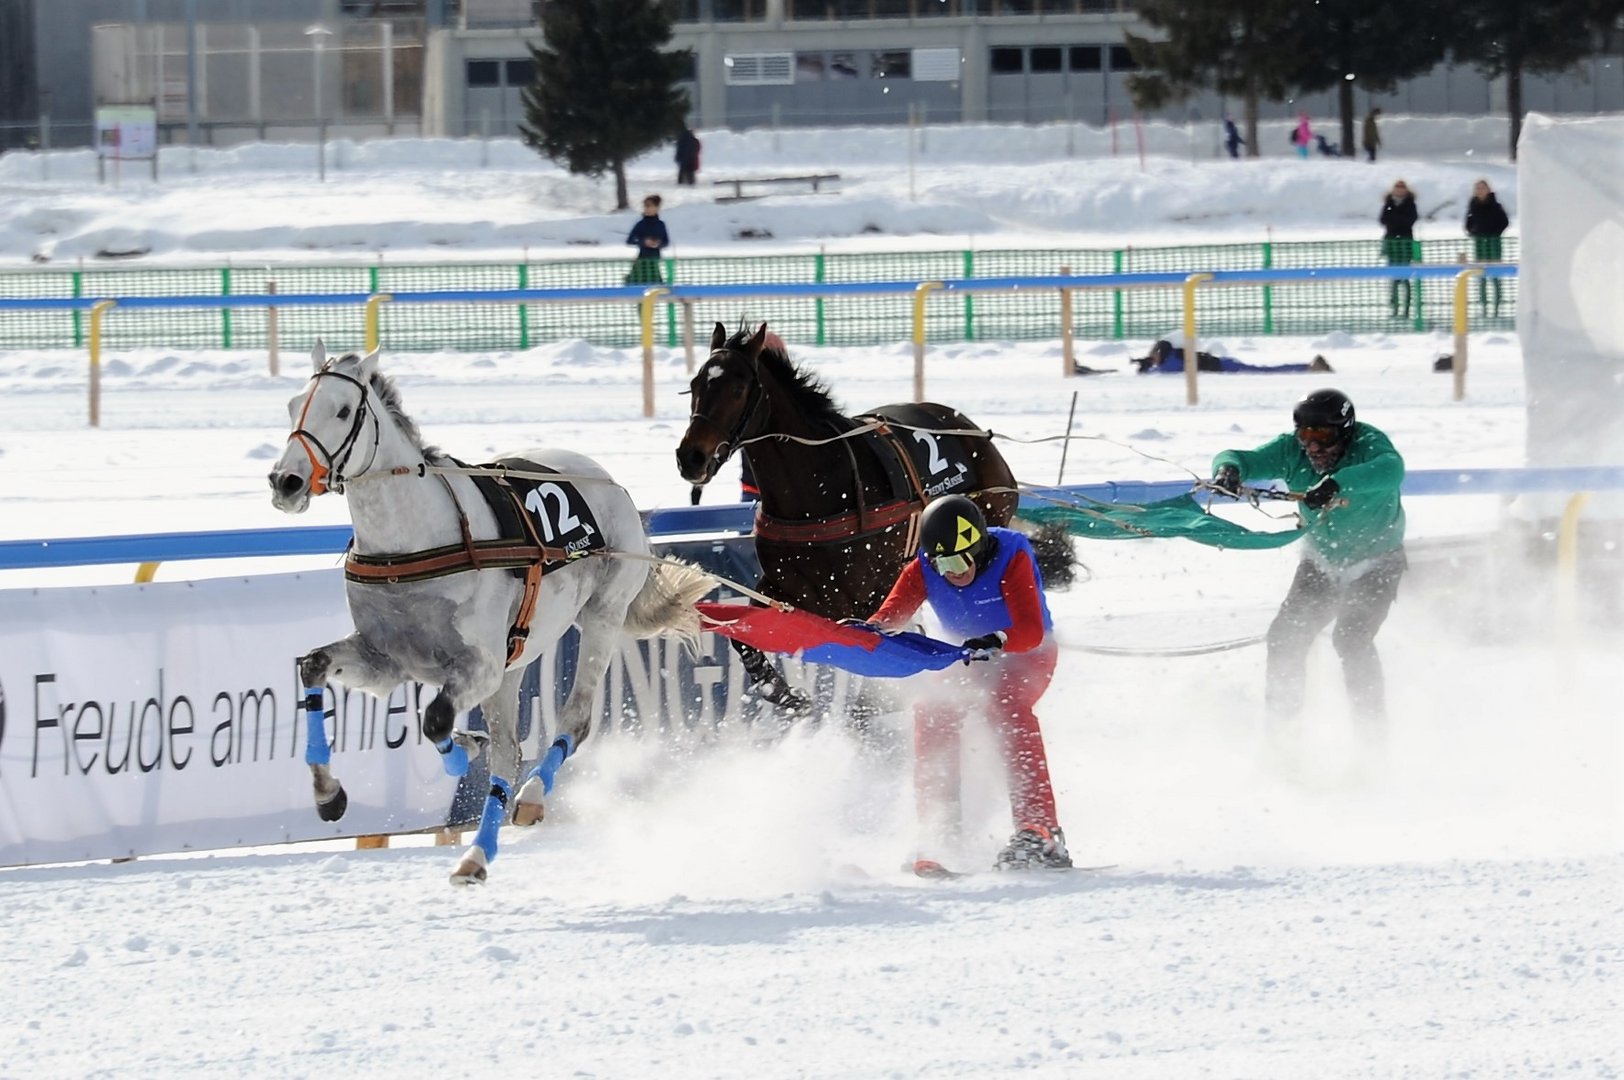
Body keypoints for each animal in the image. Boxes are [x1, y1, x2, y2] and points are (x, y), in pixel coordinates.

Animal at [267, 341, 711, 883]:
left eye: (343, 410)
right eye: (294, 405)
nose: (286, 481)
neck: (412, 543)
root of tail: (610, 483)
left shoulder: (478, 664)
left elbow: (437, 721)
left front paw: (461, 753)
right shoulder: (384, 661)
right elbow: (313, 666)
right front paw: (328, 794)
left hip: (602, 618)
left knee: (574, 720)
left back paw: (531, 797)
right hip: (516, 661)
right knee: (508, 752)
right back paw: (476, 855)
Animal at [672, 319, 1065, 708]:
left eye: (738, 388)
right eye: (695, 384)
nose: (691, 457)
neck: (817, 489)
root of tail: (976, 433)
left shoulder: (869, 591)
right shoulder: (787, 587)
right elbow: (747, 636)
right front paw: (786, 694)